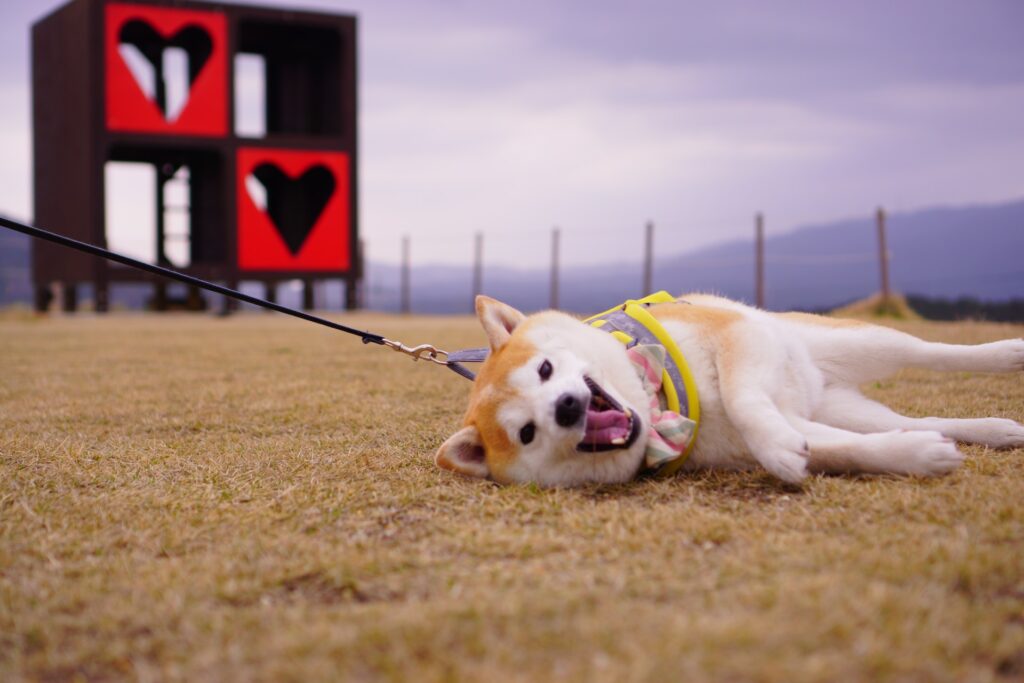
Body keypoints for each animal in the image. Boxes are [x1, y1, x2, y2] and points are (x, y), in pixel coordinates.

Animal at [434, 294, 1024, 485]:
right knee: (914, 421)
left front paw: (778, 450)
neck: (658, 402)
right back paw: (994, 430)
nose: (567, 405)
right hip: (842, 406)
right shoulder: (788, 429)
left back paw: (1008, 352)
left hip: (857, 341)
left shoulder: (737, 335)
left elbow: (743, 399)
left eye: (544, 370)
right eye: (527, 433)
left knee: (930, 352)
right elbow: (850, 450)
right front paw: (920, 458)